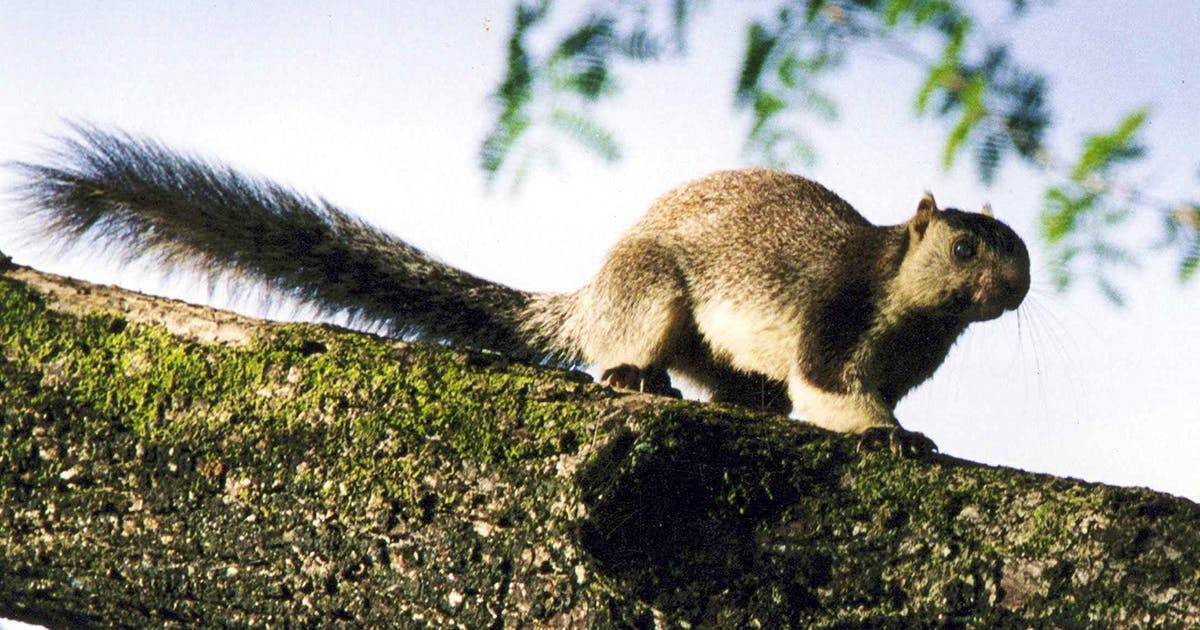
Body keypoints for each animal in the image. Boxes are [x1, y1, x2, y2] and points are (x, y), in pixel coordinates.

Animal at [11, 125, 1029, 445]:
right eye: (965, 246)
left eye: (1019, 246)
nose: (1016, 285)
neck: (913, 317)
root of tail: (588, 295)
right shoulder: (831, 315)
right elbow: (831, 390)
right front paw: (891, 436)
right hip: (652, 295)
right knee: (636, 355)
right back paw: (631, 375)